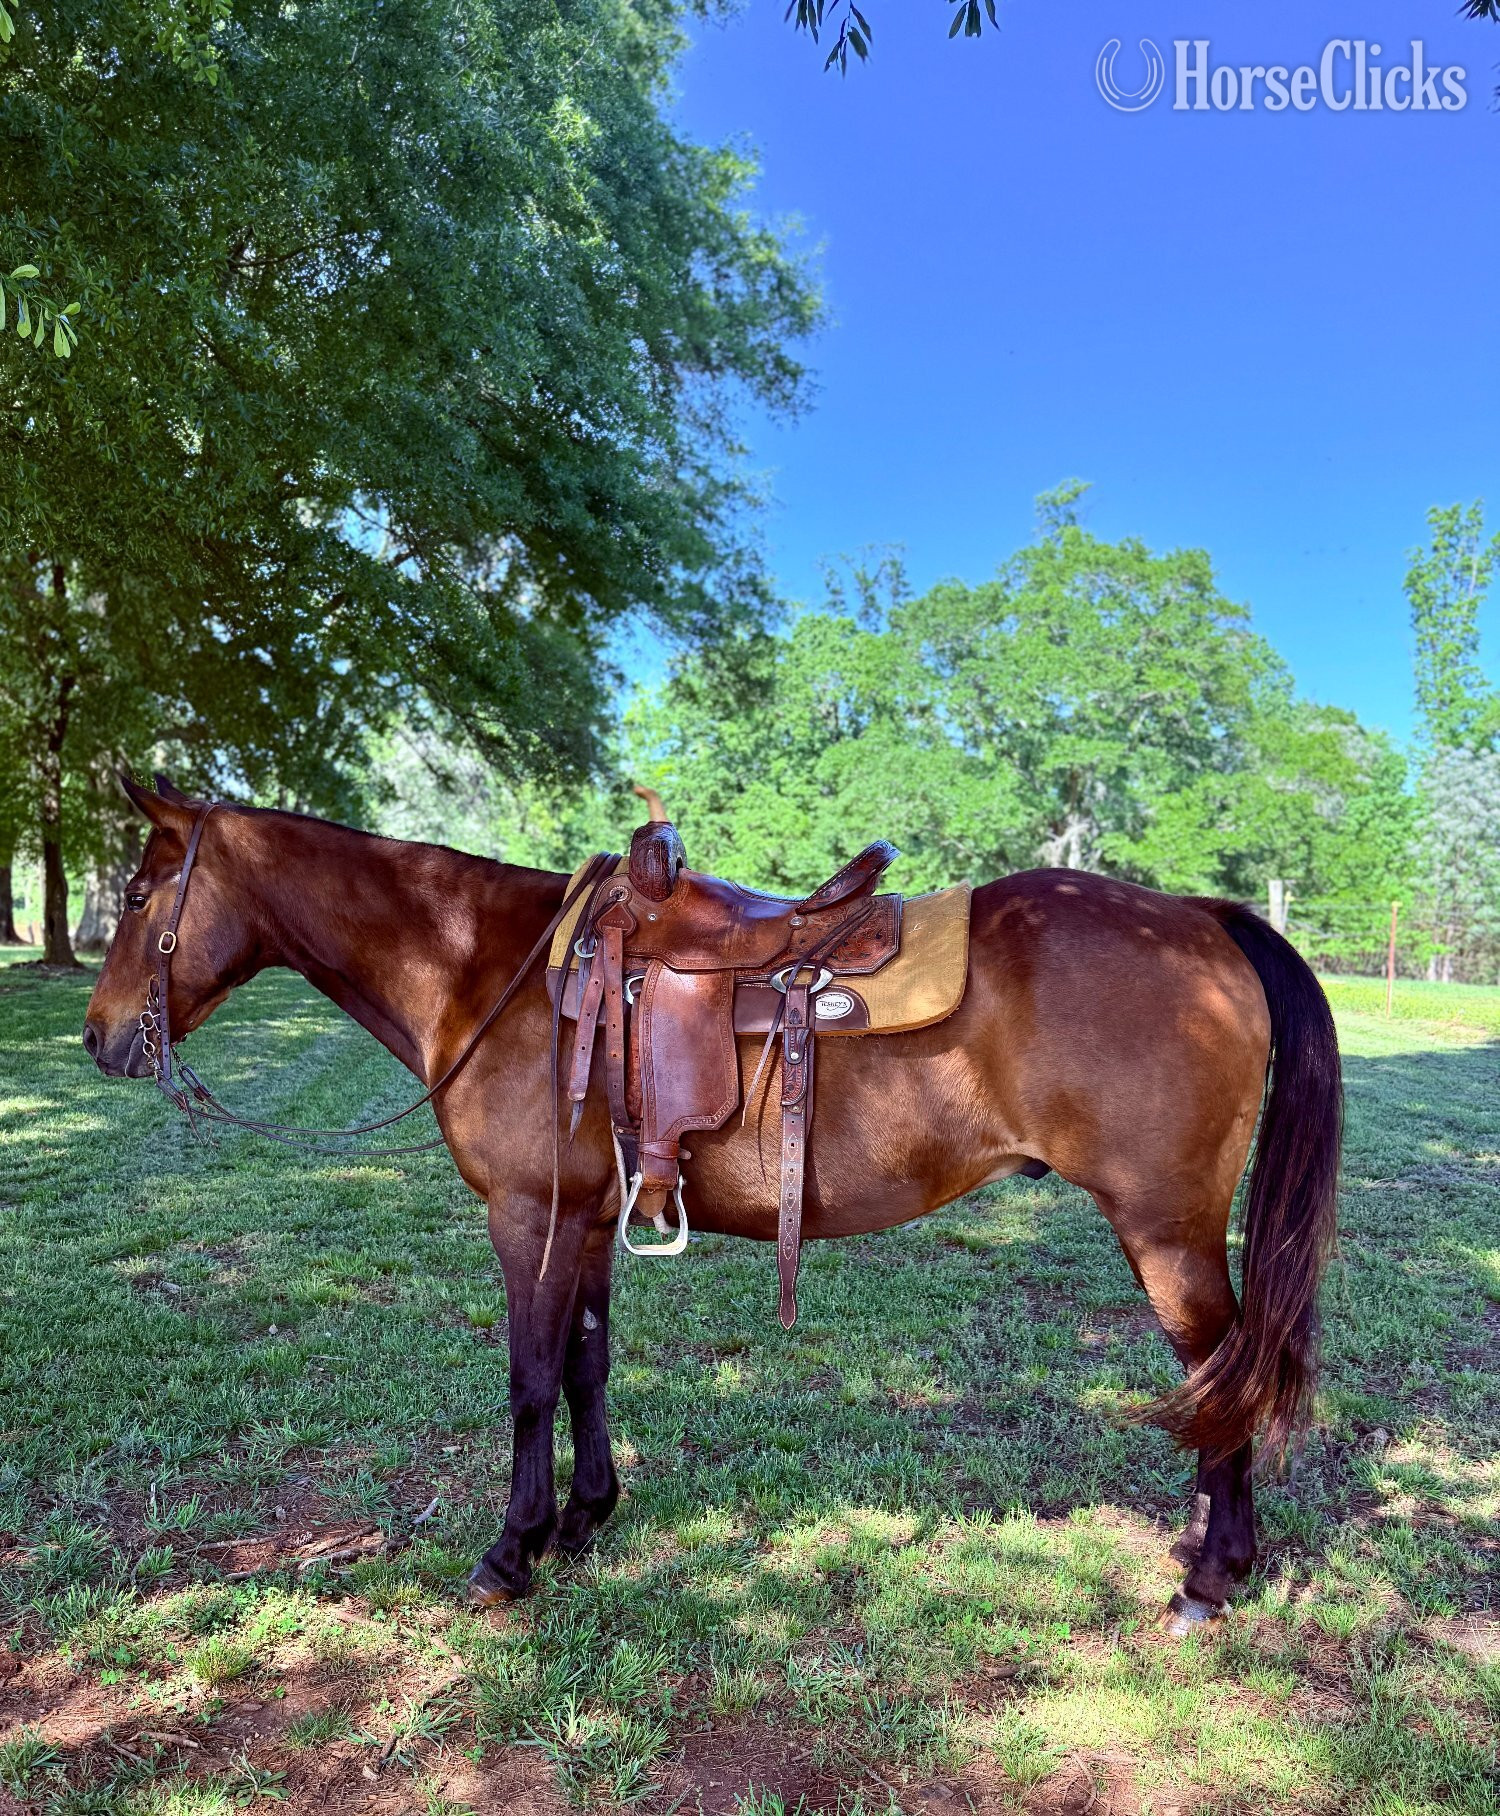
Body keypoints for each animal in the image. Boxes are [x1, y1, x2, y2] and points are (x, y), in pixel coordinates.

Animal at [82, 776, 1341, 1625]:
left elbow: (528, 1376)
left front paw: (511, 1551)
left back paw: (1209, 1577)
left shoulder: (529, 1214)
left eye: (139, 892)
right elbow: (586, 1365)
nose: (99, 1039)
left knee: (1223, 1373)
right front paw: (586, 1518)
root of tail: (1197, 916)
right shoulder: (590, 1216)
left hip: (1167, 1234)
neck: (487, 969)